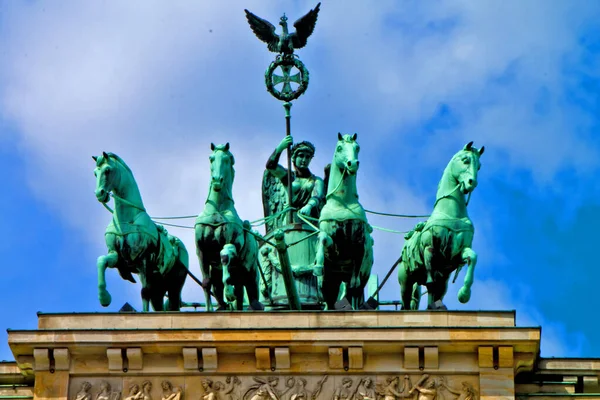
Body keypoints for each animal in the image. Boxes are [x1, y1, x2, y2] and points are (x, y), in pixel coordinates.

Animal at [92, 152, 188, 310]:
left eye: (107, 170)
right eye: (95, 173)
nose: (99, 194)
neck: (127, 218)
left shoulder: (143, 259)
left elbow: (145, 292)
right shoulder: (116, 256)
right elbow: (101, 261)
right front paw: (104, 297)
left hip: (174, 284)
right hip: (159, 285)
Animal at [196, 144, 264, 312]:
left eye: (227, 159)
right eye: (211, 158)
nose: (217, 180)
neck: (217, 210)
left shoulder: (232, 242)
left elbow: (225, 256)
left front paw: (229, 292)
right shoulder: (200, 250)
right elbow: (206, 282)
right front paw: (208, 309)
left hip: (250, 273)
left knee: (251, 295)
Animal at [312, 133, 372, 310]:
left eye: (357, 147)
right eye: (339, 148)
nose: (353, 163)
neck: (342, 203)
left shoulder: (359, 241)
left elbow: (355, 276)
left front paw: (354, 279)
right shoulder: (332, 242)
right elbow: (323, 239)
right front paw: (318, 264)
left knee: (354, 295)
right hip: (329, 284)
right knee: (329, 301)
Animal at [398, 142, 482, 310]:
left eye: (479, 166)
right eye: (465, 160)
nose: (472, 182)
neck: (451, 213)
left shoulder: (457, 253)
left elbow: (473, 257)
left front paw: (464, 294)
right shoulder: (430, 247)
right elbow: (431, 278)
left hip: (443, 283)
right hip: (406, 281)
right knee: (406, 301)